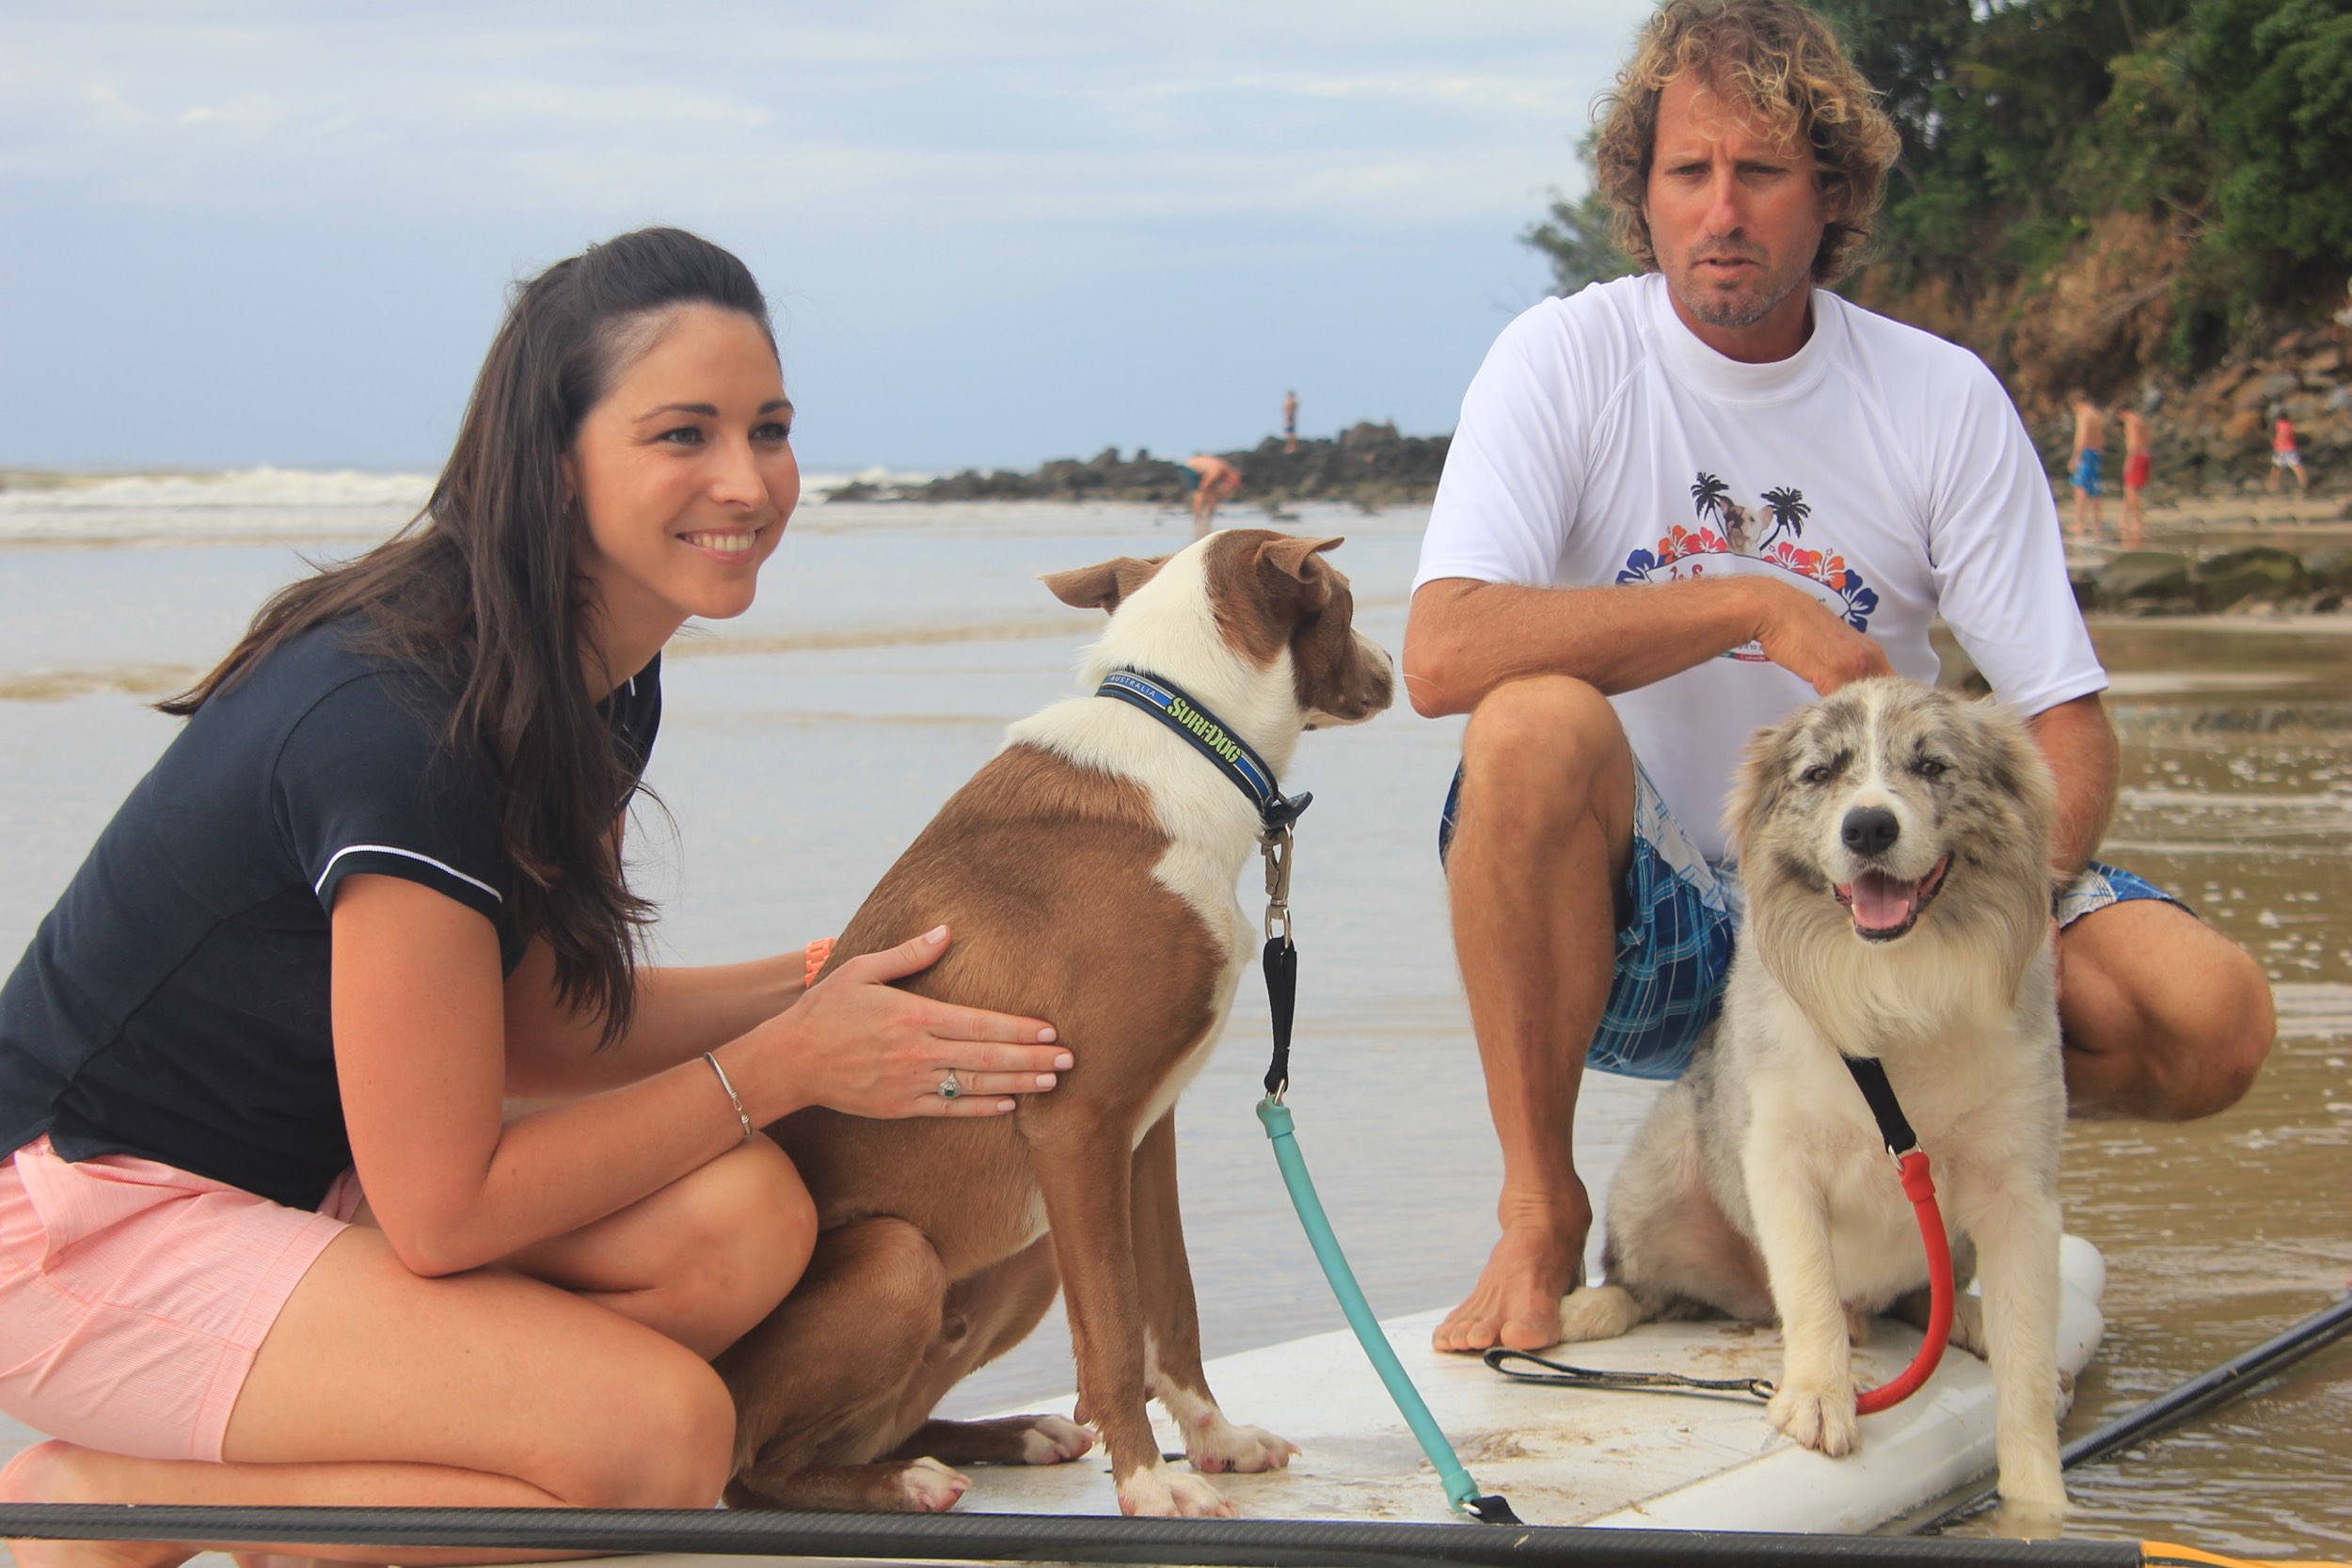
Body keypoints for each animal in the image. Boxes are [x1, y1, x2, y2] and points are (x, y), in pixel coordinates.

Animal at [724, 531, 1392, 1523]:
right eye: (1345, 598)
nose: (1395, 666)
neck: (1183, 741)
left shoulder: (1144, 1134)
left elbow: (1171, 1308)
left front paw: (1216, 1441)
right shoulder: (1078, 1129)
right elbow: (1114, 1330)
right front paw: (1150, 1482)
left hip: (1026, 1256)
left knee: (873, 1425)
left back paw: (1011, 1434)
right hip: (901, 1257)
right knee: (757, 1470)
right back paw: (902, 1481)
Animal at [1562, 676, 2079, 1523]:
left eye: (1931, 764)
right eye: (1820, 772)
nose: (1868, 825)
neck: (1897, 987)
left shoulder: (2020, 1190)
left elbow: (2030, 1362)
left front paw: (2039, 1501)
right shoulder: (1780, 1153)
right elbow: (1807, 1284)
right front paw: (1815, 1398)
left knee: (1926, 1299)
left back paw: (1963, 1316)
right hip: (1660, 1170)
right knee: (1655, 1286)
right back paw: (1589, 1308)